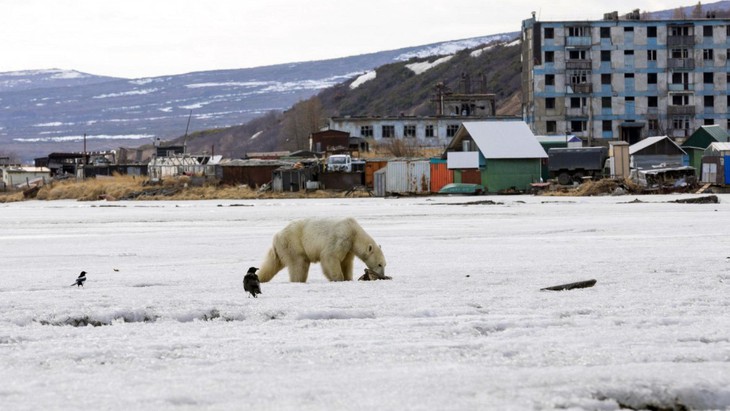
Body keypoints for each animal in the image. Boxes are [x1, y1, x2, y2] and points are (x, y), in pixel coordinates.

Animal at [255, 219, 384, 284]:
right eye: (379, 264)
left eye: (384, 264)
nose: (382, 275)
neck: (354, 231)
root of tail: (276, 237)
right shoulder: (341, 237)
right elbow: (330, 256)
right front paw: (338, 278)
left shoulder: (349, 248)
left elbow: (346, 263)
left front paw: (348, 278)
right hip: (293, 243)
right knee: (299, 263)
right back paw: (299, 280)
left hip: (281, 248)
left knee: (272, 264)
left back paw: (260, 278)